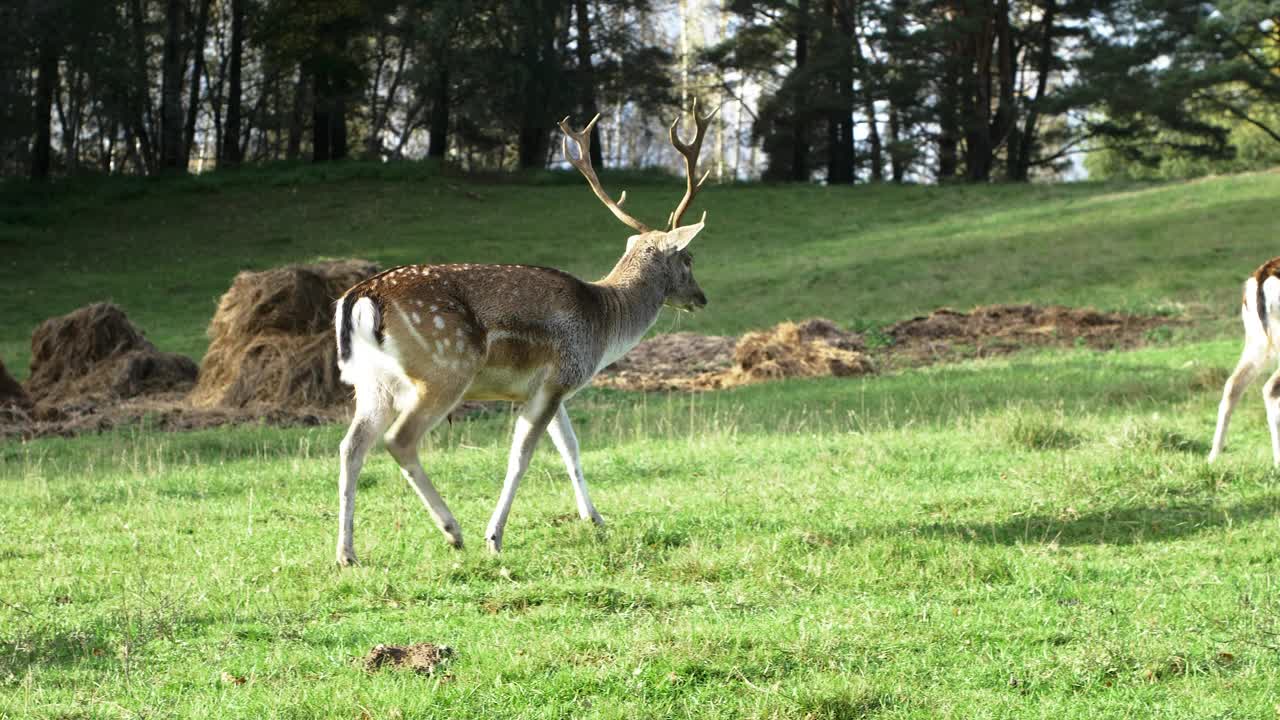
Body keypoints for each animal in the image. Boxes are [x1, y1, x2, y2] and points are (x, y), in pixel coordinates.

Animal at [330, 101, 716, 561]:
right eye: (689, 259)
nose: (702, 298)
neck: (603, 323)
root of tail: (362, 297)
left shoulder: (551, 387)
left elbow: (570, 447)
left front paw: (596, 519)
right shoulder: (557, 378)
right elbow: (521, 456)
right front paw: (495, 536)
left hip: (372, 383)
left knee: (350, 446)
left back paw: (346, 553)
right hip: (444, 369)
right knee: (398, 439)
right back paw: (452, 529)